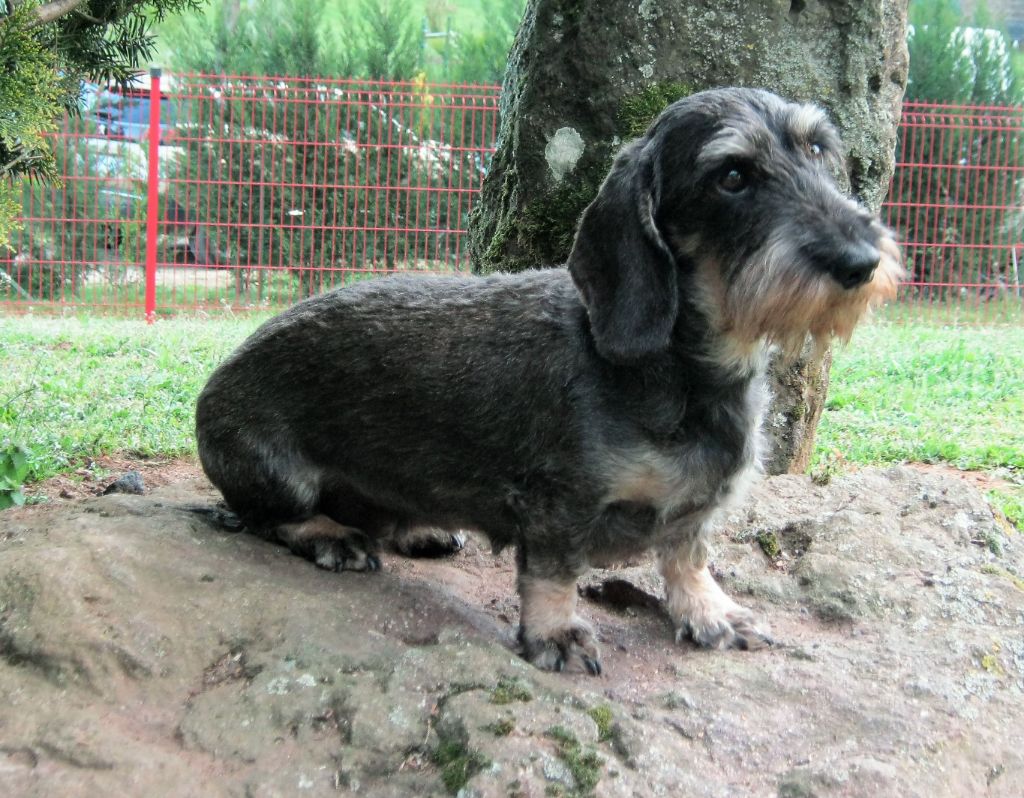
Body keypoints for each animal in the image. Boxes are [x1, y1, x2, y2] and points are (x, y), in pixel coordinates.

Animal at [195, 87, 901, 676]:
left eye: (818, 149)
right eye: (732, 176)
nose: (862, 262)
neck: (684, 371)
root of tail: (221, 376)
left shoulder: (697, 509)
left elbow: (687, 555)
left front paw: (709, 612)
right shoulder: (561, 502)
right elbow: (555, 574)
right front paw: (556, 633)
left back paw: (417, 527)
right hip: (276, 474)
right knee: (268, 517)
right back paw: (331, 535)